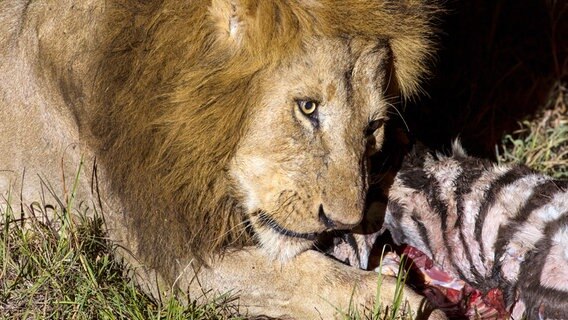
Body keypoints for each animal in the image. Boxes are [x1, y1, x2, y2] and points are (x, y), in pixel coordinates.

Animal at [0, 1, 444, 318]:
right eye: (307, 107)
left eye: (373, 127)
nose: (345, 222)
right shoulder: (170, 259)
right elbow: (312, 277)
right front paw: (412, 303)